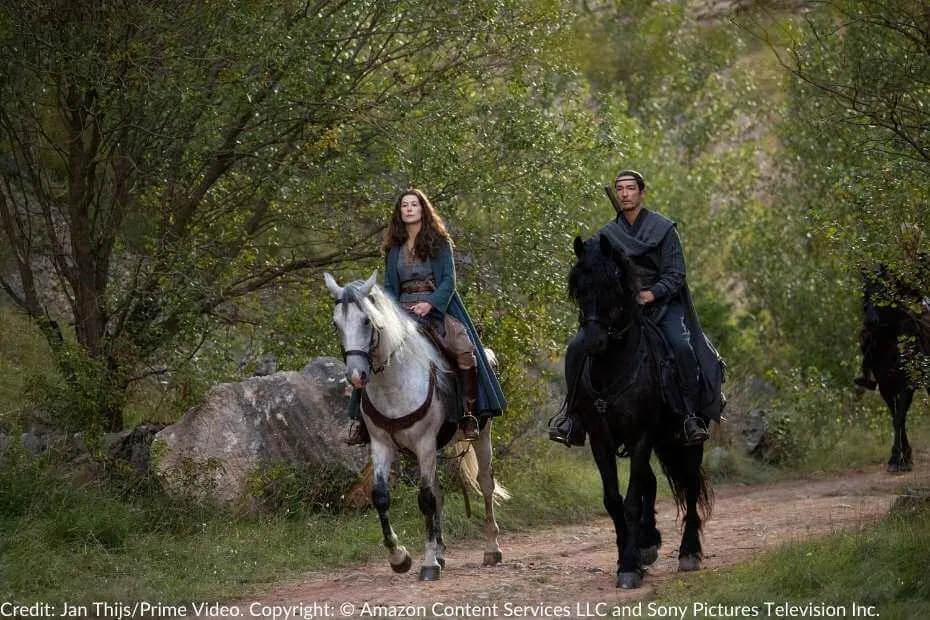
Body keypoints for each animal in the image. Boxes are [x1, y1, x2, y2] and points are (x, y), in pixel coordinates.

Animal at [320, 272, 508, 580]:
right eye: (336, 324)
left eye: (367, 321)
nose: (356, 376)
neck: (394, 382)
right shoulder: (382, 444)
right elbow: (382, 496)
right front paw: (400, 558)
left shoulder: (424, 443)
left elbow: (426, 500)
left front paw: (428, 564)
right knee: (439, 491)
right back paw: (442, 552)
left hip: (482, 434)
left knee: (485, 484)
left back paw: (491, 549)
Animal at [564, 234, 712, 592]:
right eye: (580, 288)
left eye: (612, 284)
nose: (593, 341)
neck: (613, 366)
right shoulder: (601, 440)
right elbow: (614, 500)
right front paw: (626, 555)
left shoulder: (642, 435)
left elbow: (631, 501)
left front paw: (630, 567)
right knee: (651, 482)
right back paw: (647, 542)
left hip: (686, 440)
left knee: (689, 485)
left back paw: (688, 552)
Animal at [860, 264, 924, 472]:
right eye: (865, 293)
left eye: (883, 292)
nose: (870, 321)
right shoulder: (886, 388)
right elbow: (896, 417)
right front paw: (899, 457)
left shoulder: (906, 386)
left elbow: (899, 418)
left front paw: (900, 460)